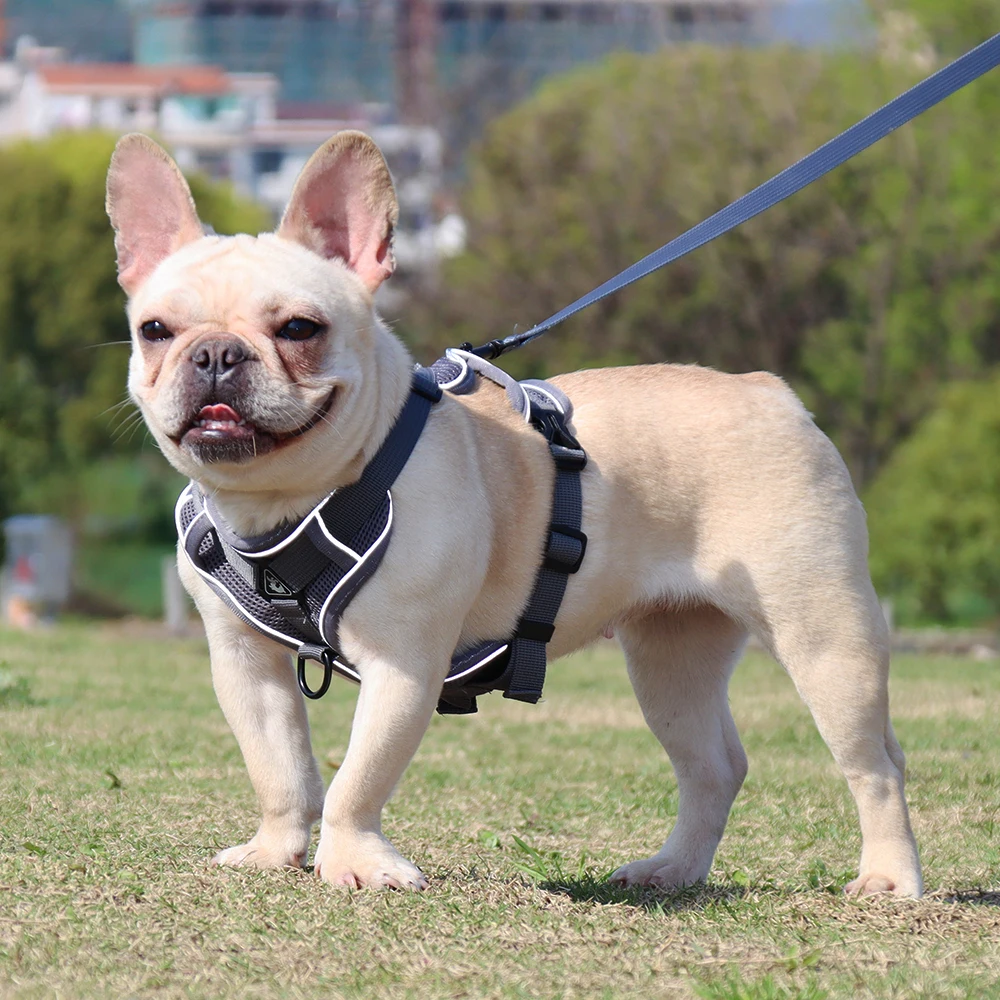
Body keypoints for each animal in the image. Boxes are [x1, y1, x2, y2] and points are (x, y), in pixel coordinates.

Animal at [107, 129, 920, 896]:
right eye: (155, 331)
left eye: (299, 330)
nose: (215, 354)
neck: (281, 502)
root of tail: (768, 391)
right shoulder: (245, 664)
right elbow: (279, 768)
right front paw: (275, 853)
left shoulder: (404, 661)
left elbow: (358, 777)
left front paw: (356, 863)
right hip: (671, 653)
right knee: (713, 764)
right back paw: (673, 871)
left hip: (822, 632)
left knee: (875, 761)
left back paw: (888, 878)